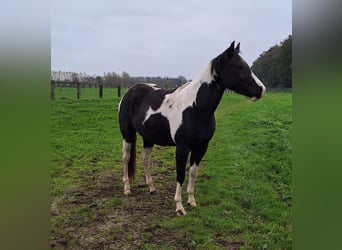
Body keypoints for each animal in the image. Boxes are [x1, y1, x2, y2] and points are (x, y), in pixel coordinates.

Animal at [119, 42, 266, 216]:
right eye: (238, 66)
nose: (262, 89)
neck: (196, 108)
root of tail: (130, 91)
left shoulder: (201, 146)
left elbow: (193, 172)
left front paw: (191, 200)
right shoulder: (182, 148)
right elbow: (180, 174)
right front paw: (179, 207)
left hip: (149, 138)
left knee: (145, 160)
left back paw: (152, 188)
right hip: (127, 134)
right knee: (126, 158)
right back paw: (127, 189)